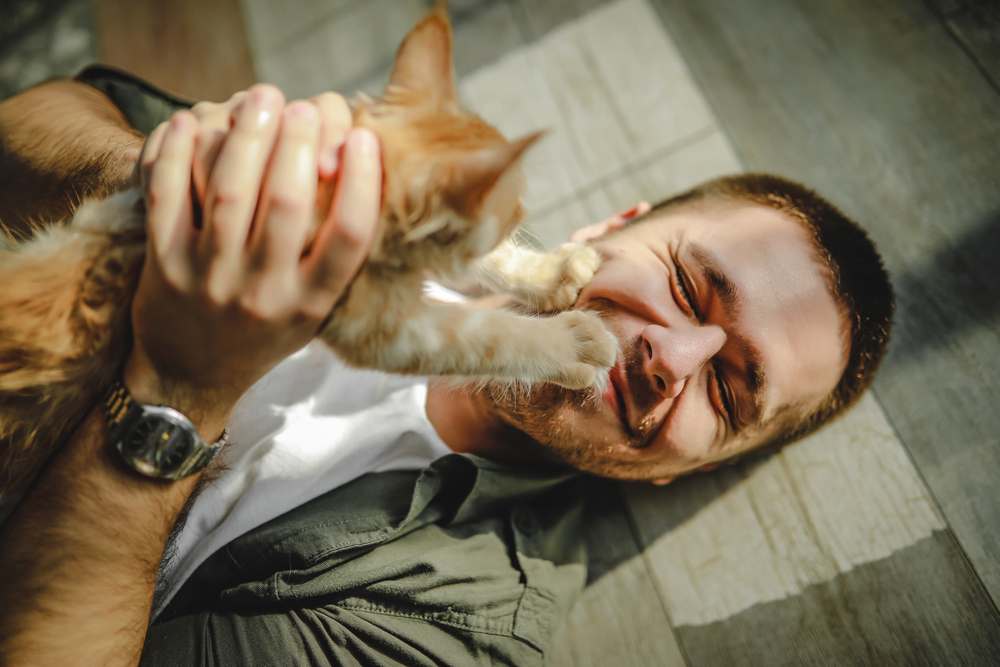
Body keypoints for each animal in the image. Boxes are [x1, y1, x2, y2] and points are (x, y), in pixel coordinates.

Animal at [0, 6, 616, 512]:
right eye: (516, 201)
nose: (527, 209)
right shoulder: (377, 326)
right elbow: (486, 339)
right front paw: (571, 345)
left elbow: (485, 266)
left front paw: (553, 273)